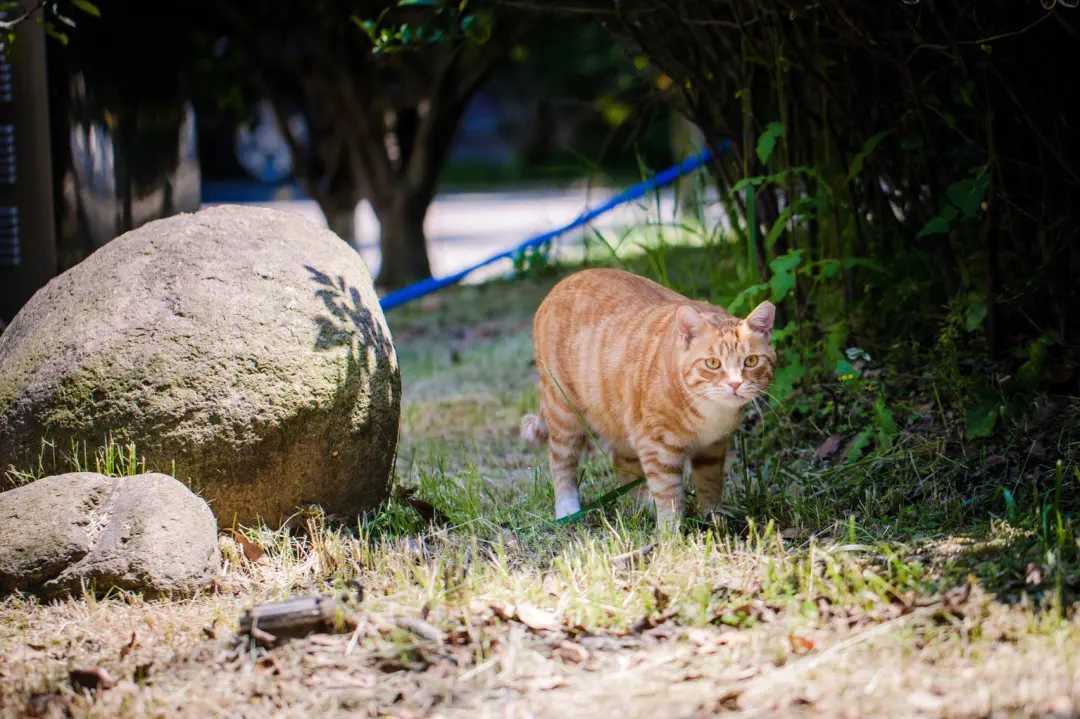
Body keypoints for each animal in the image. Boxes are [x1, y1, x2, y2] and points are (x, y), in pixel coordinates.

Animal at [522, 265, 777, 524]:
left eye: (751, 361)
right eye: (713, 363)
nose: (735, 384)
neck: (711, 412)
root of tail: (562, 284)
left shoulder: (712, 448)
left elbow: (710, 483)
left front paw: (713, 517)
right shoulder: (657, 448)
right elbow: (668, 495)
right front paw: (670, 530)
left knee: (622, 462)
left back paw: (643, 505)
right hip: (565, 414)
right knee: (560, 461)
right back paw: (568, 508)